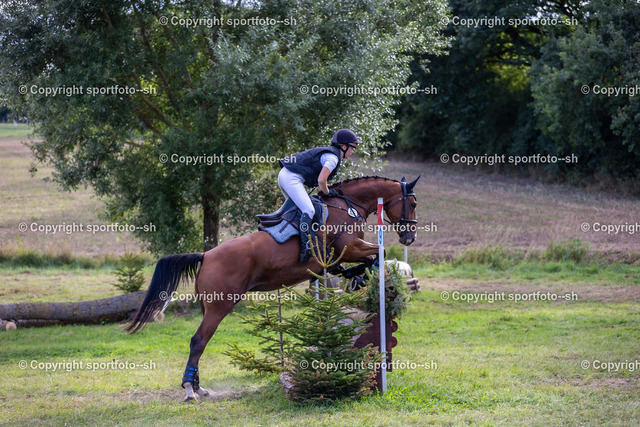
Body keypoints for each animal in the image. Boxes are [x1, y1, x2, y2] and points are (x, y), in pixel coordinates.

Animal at [125, 175, 420, 401]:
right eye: (414, 203)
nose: (410, 236)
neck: (347, 206)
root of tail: (206, 255)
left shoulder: (340, 256)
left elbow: (367, 260)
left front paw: (360, 278)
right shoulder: (349, 247)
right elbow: (378, 253)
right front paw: (372, 276)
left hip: (208, 305)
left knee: (200, 342)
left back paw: (199, 387)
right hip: (220, 305)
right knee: (198, 341)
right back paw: (190, 389)